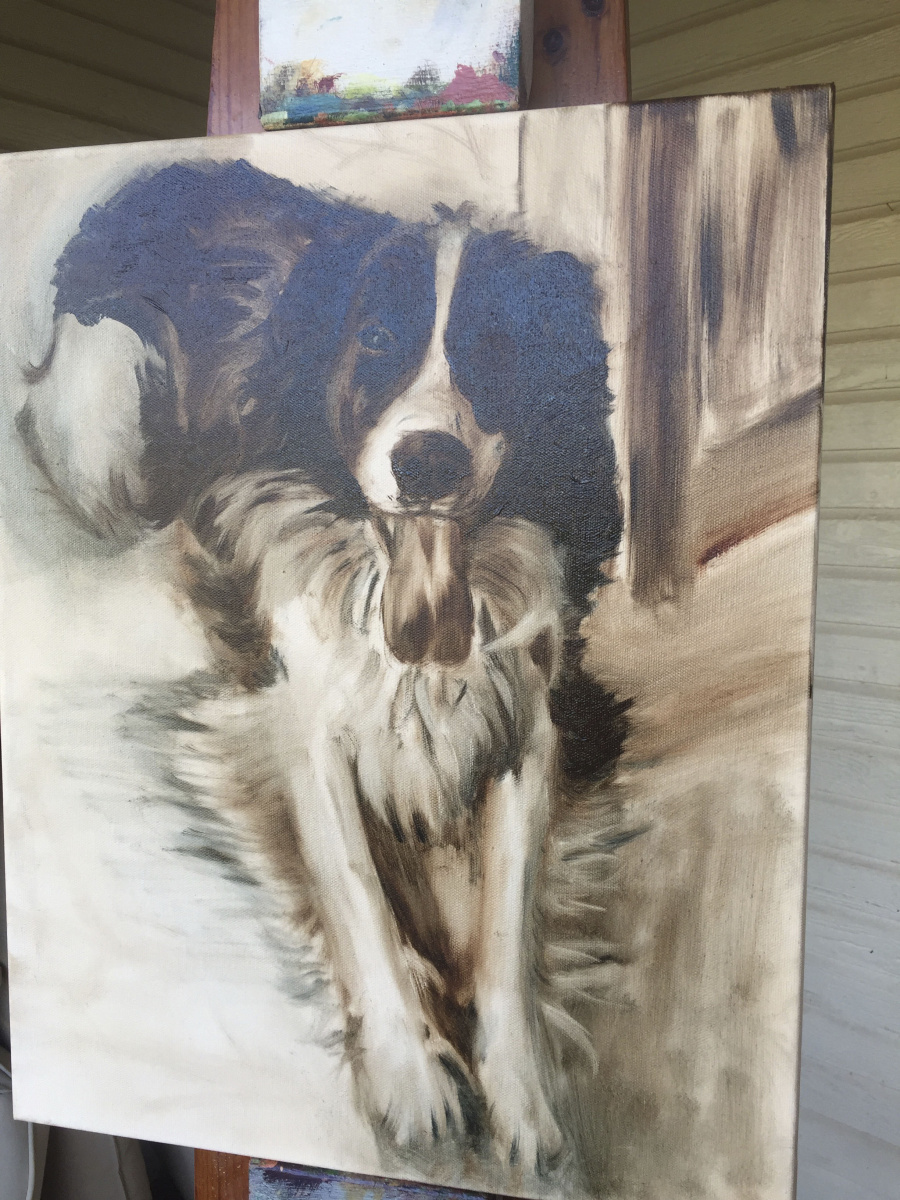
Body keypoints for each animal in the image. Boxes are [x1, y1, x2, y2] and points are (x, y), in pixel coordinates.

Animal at [20, 159, 625, 1172]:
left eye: (502, 349)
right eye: (374, 341)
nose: (429, 460)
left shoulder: (533, 719)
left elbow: (506, 925)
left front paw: (525, 1098)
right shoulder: (305, 722)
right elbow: (360, 895)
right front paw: (413, 1069)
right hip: (99, 398)